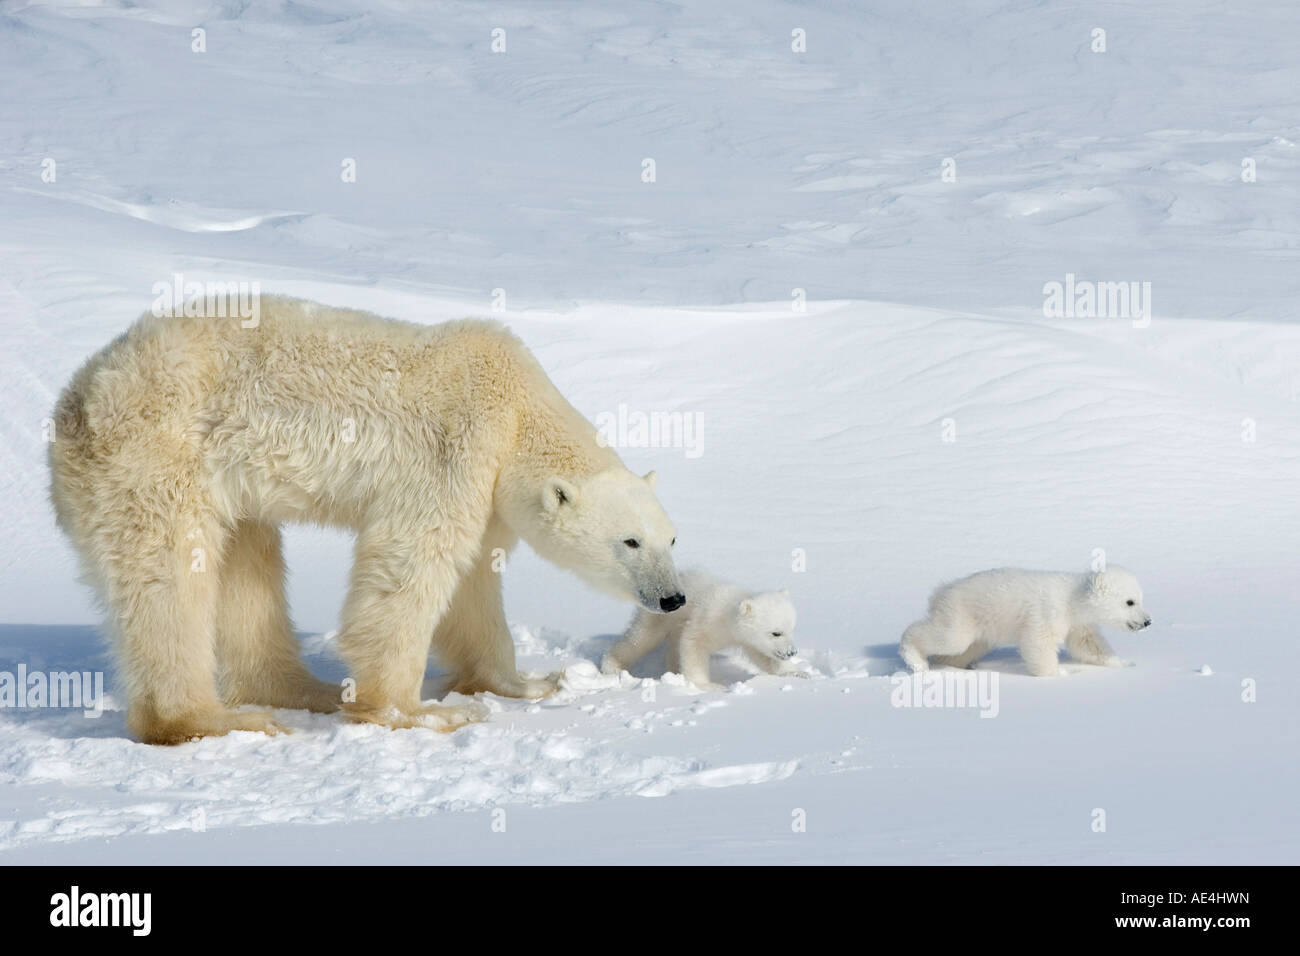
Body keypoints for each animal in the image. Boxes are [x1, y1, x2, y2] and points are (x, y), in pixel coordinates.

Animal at [48, 295, 691, 743]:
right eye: (630, 542)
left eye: (673, 537)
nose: (674, 598)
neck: (516, 407)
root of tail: (74, 401)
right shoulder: (453, 448)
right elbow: (412, 562)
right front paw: (419, 712)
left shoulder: (487, 491)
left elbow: (474, 583)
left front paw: (528, 683)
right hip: (156, 460)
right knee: (171, 581)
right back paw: (217, 719)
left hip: (222, 487)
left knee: (246, 564)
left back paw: (305, 690)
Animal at [600, 572, 800, 691]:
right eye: (776, 633)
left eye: (792, 629)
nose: (791, 652)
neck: (728, 613)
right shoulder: (707, 619)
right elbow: (694, 644)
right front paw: (709, 686)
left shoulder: (746, 638)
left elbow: (763, 655)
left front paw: (796, 673)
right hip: (659, 616)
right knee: (640, 638)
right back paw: (612, 666)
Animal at [899, 564, 1154, 676]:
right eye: (1130, 602)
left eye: (1141, 599)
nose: (1147, 621)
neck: (1070, 598)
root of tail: (941, 592)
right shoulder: (1047, 611)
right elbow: (1038, 642)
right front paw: (1059, 673)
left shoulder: (1078, 624)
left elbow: (1088, 644)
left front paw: (1122, 664)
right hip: (962, 613)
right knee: (949, 638)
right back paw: (916, 660)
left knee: (962, 650)